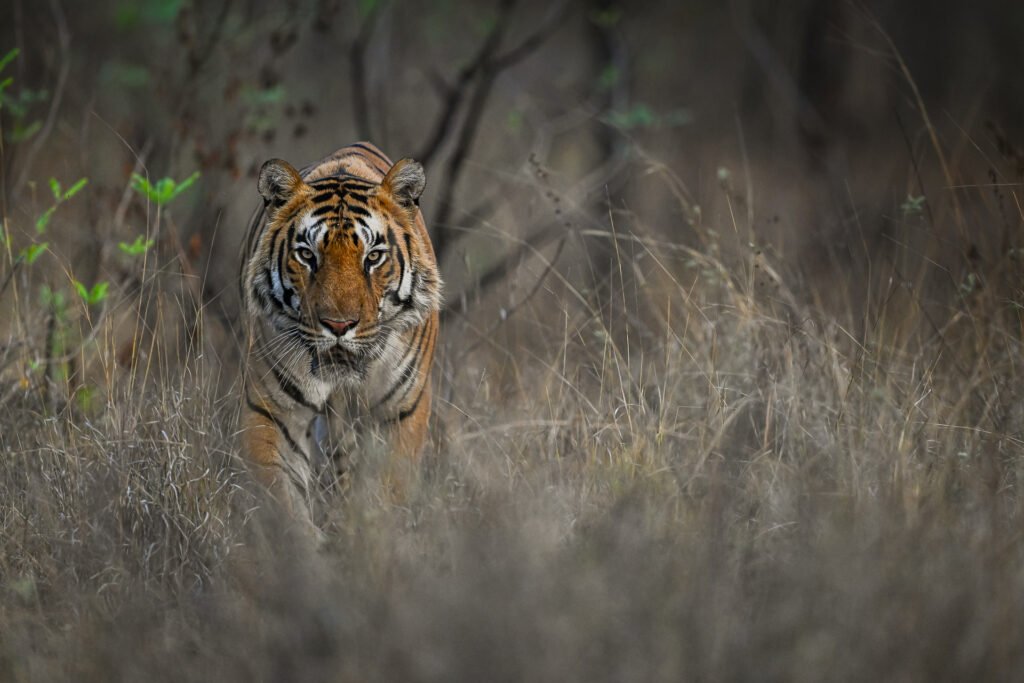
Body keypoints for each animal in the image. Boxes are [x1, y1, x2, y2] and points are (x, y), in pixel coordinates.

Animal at [238, 142, 442, 530]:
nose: (338, 325)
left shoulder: (400, 413)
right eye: (307, 255)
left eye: (373, 257)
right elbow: (283, 506)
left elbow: (388, 498)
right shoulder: (275, 413)